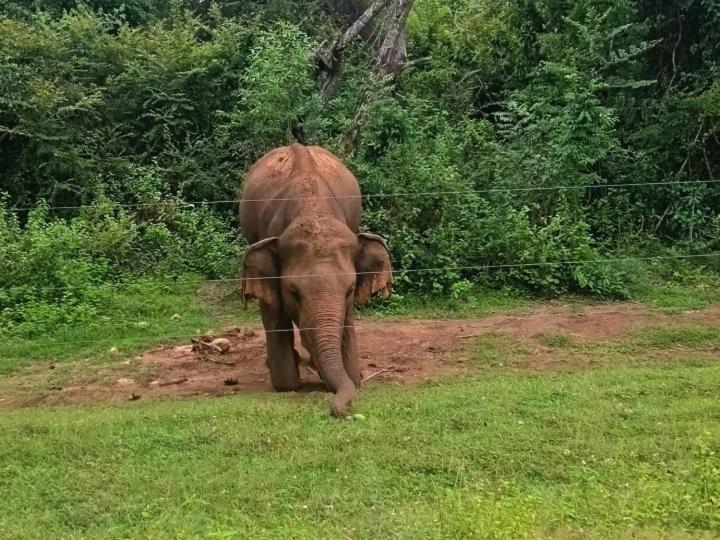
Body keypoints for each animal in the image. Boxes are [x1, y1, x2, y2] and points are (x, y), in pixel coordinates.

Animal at [239, 143, 390, 418]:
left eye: (350, 290)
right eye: (293, 292)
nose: (345, 410)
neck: (313, 210)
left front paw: (354, 375)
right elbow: (274, 317)